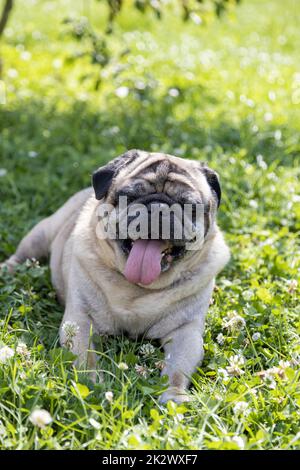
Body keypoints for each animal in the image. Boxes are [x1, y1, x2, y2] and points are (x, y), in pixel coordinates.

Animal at [1, 151, 230, 404]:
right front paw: (92, 384)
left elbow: (177, 370)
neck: (138, 288)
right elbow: (87, 360)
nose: (159, 206)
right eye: (129, 197)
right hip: (40, 235)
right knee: (22, 255)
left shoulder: (186, 332)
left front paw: (174, 396)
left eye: (189, 206)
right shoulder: (80, 321)